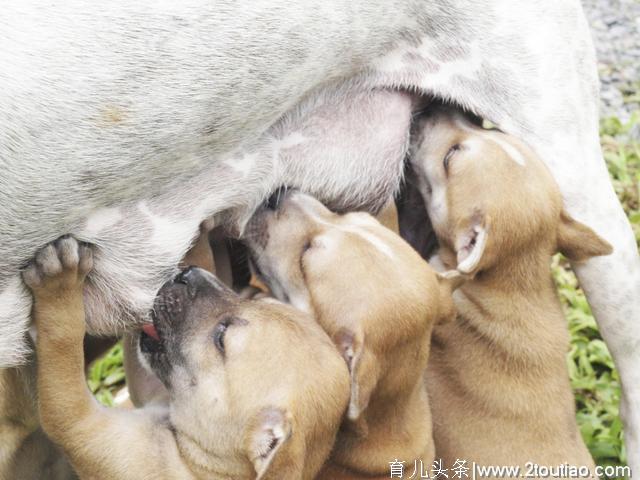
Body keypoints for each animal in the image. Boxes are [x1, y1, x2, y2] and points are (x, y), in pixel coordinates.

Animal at [22, 236, 350, 480]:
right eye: (253, 299)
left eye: (222, 338)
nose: (186, 274)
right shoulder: (149, 390)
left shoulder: (83, 427)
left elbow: (62, 346)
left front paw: (60, 287)